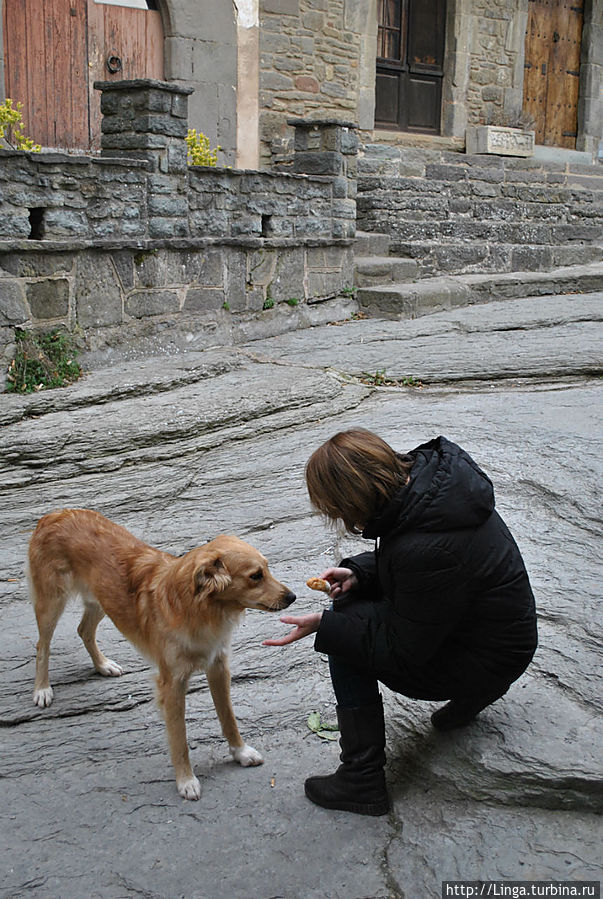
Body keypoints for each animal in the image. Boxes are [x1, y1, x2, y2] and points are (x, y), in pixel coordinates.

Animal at [28, 510, 298, 800]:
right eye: (256, 576)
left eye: (267, 569)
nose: (292, 597)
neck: (201, 609)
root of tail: (53, 514)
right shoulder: (173, 683)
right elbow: (179, 736)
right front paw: (186, 780)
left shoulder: (218, 666)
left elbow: (228, 717)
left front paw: (241, 752)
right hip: (51, 602)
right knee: (42, 646)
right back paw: (42, 689)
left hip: (102, 600)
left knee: (84, 630)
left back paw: (103, 665)